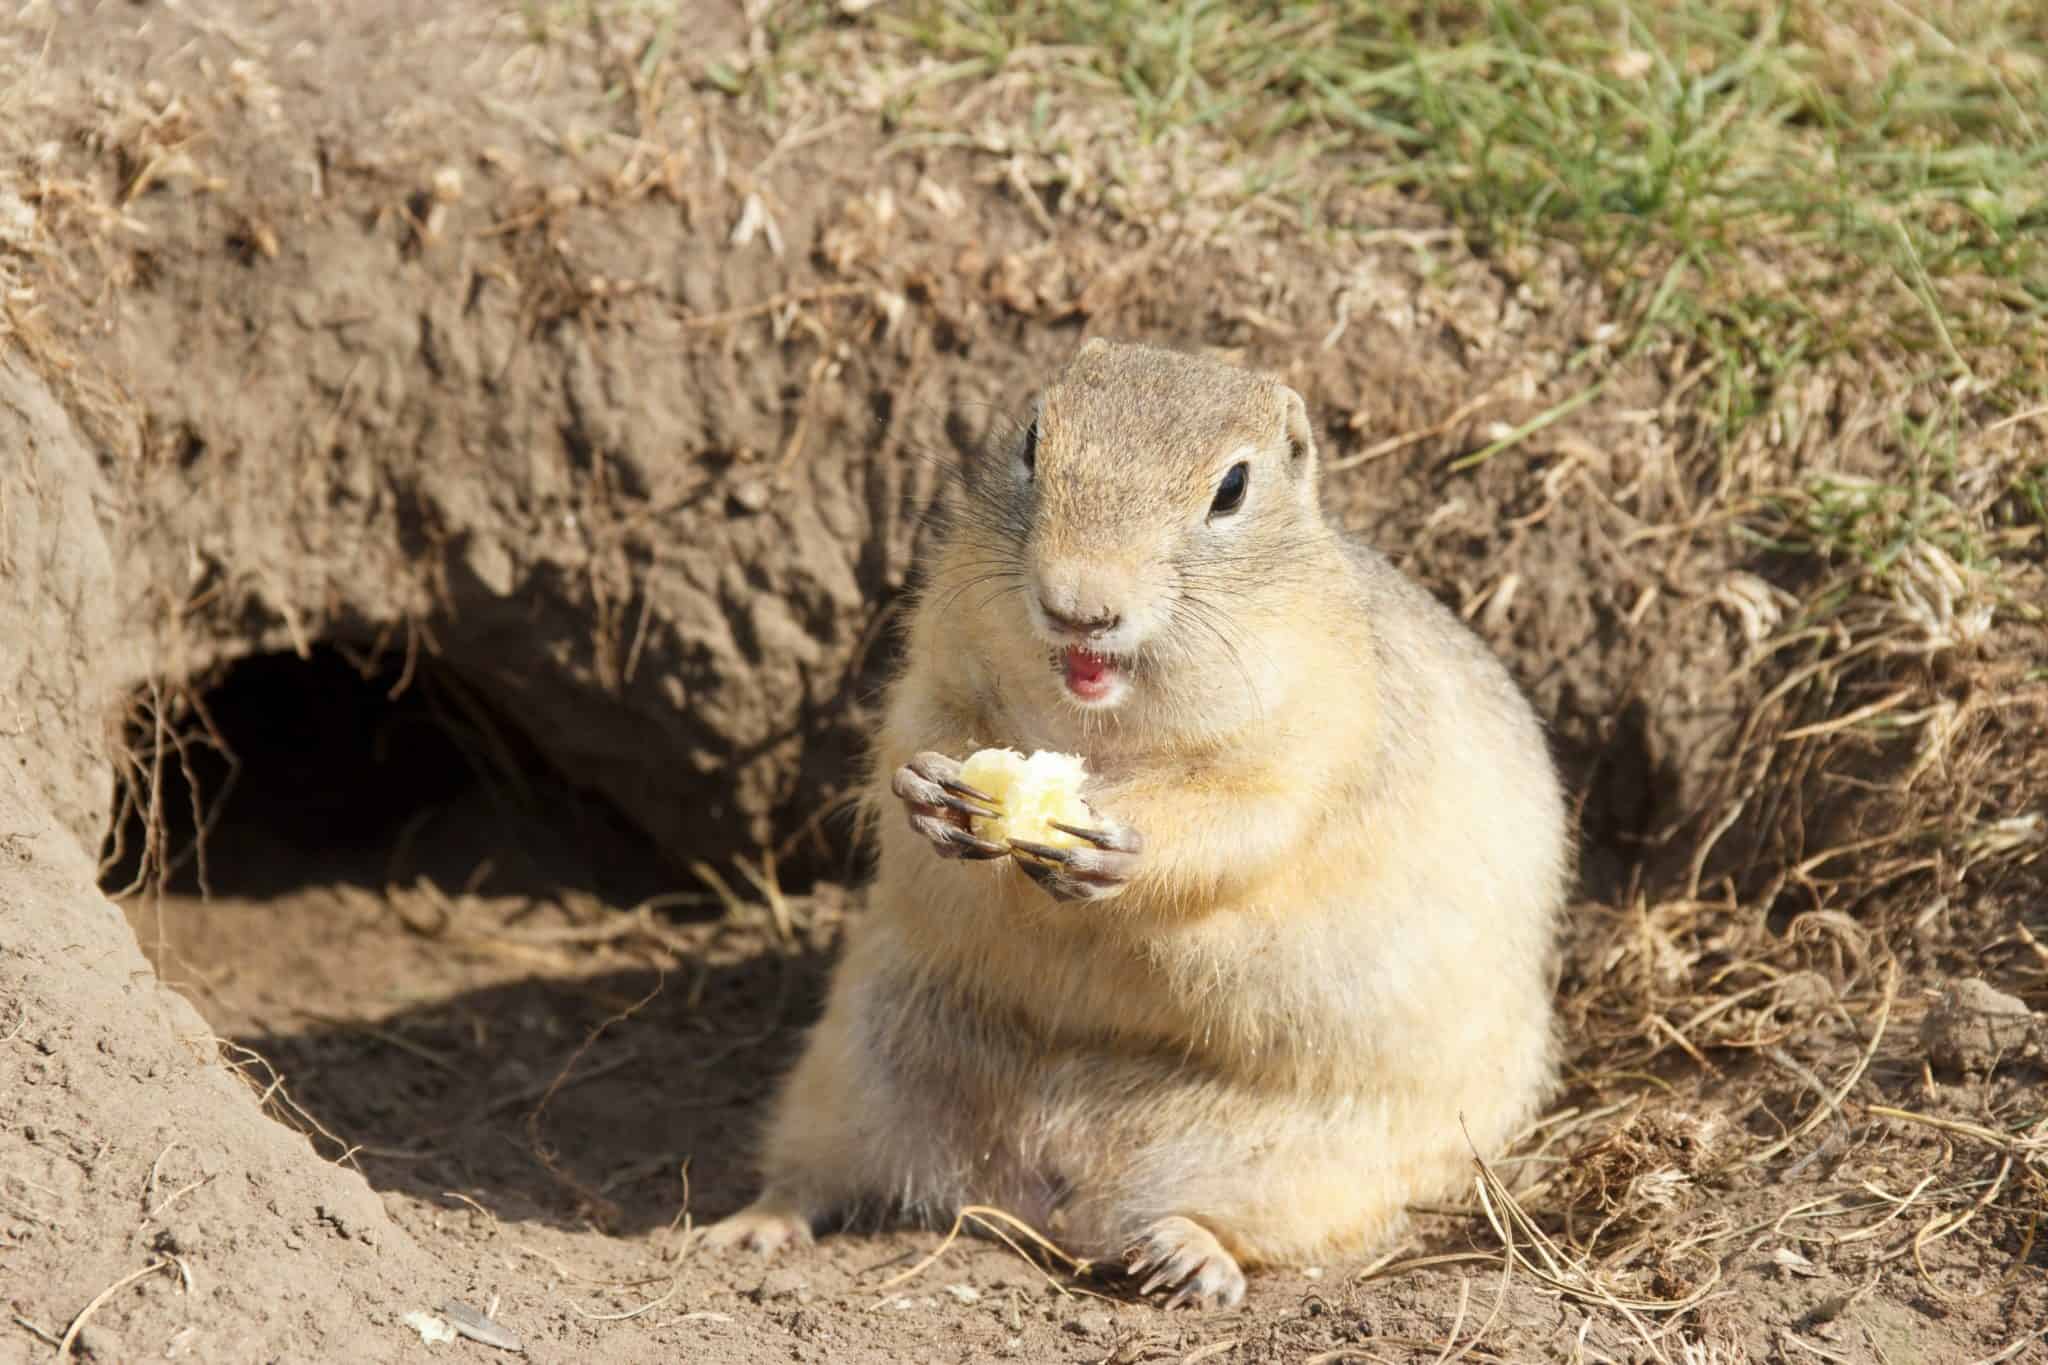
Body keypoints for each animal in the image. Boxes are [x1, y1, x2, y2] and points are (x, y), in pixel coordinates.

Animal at [704, 335, 1564, 1309]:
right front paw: (929, 789)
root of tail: (1042, 1180)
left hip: (1332, 1170)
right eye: (1032, 437)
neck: (1100, 729)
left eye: (1233, 488)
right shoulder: (938, 652)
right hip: (848, 1067)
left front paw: (1118, 850)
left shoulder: (1314, 733)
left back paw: (1190, 1255)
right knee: (810, 1171)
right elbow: (915, 722)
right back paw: (754, 1224)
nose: (1079, 603)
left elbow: (1250, 818)